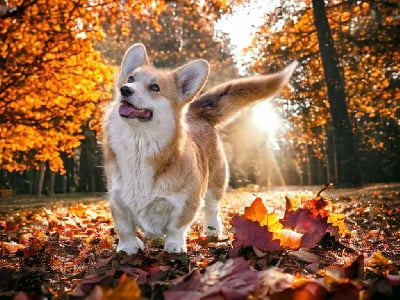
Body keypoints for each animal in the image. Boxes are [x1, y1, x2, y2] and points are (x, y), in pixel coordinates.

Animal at [103, 43, 296, 254]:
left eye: (155, 87)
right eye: (131, 79)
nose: (125, 89)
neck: (138, 145)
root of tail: (196, 113)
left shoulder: (187, 202)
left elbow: (176, 227)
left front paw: (174, 246)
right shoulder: (117, 202)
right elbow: (125, 229)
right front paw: (128, 247)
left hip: (214, 186)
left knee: (212, 209)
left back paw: (212, 232)